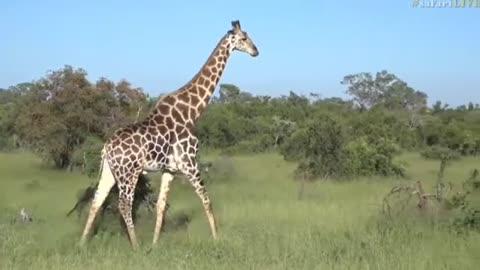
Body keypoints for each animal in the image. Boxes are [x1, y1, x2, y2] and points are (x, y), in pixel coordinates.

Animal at [79, 20, 258, 250]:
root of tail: (106, 148)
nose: (256, 51)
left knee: (97, 200)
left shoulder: (169, 170)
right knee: (124, 204)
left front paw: (155, 244)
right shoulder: (190, 163)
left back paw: (82, 243)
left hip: (111, 171)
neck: (192, 112)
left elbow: (161, 206)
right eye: (244, 38)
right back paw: (136, 246)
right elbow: (206, 199)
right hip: (129, 173)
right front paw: (217, 238)